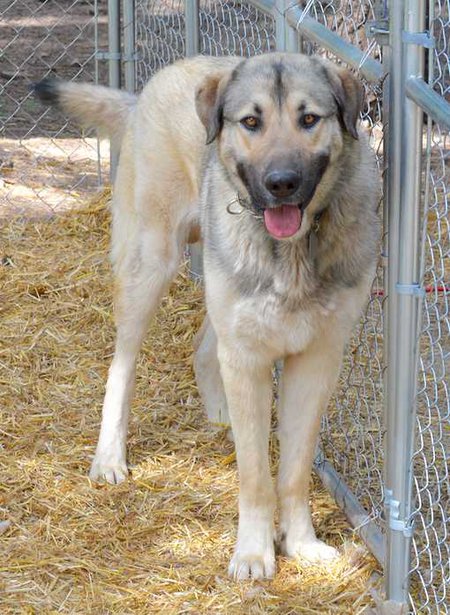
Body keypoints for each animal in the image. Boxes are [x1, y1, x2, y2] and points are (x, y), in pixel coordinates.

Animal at [34, 54, 380, 584]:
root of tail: (150, 87)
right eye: (252, 122)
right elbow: (256, 476)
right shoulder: (249, 353)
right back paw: (110, 455)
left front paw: (301, 543)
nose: (282, 182)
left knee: (204, 351)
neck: (290, 253)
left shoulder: (316, 359)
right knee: (122, 365)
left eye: (309, 119)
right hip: (150, 266)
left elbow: (295, 470)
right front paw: (254, 553)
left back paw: (222, 418)